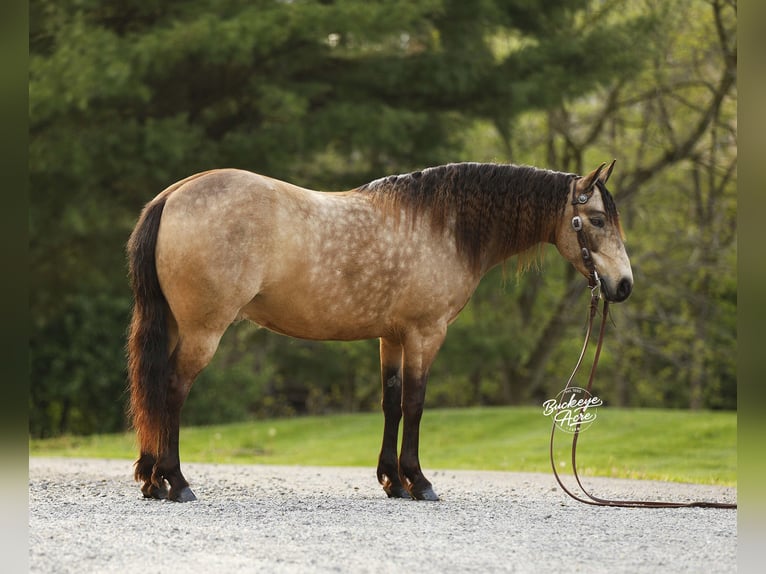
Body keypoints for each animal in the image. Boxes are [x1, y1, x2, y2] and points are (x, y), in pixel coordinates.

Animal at [126, 160, 633, 502]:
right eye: (598, 220)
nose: (624, 286)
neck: (441, 225)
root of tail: (174, 195)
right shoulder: (425, 335)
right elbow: (415, 403)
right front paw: (419, 481)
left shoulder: (391, 337)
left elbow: (391, 403)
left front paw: (393, 480)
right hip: (202, 331)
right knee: (171, 390)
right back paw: (176, 481)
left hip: (176, 327)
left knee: (152, 389)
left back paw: (152, 479)